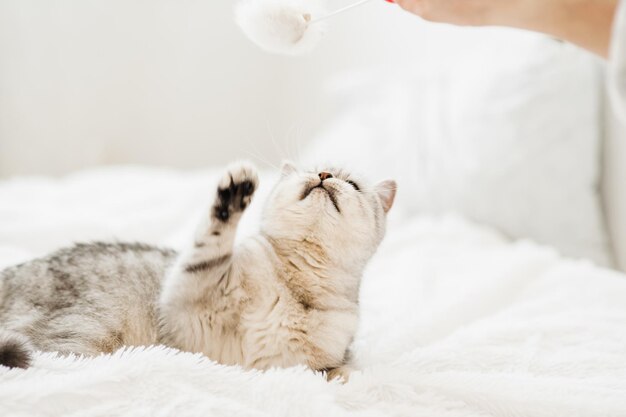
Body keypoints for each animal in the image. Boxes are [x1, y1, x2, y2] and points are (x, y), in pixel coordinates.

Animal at [0, 160, 394, 376]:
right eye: (310, 171)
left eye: (352, 183)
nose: (324, 174)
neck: (293, 285)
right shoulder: (186, 304)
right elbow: (211, 244)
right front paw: (233, 195)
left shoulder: (304, 363)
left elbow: (336, 370)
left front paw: (346, 377)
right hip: (86, 330)